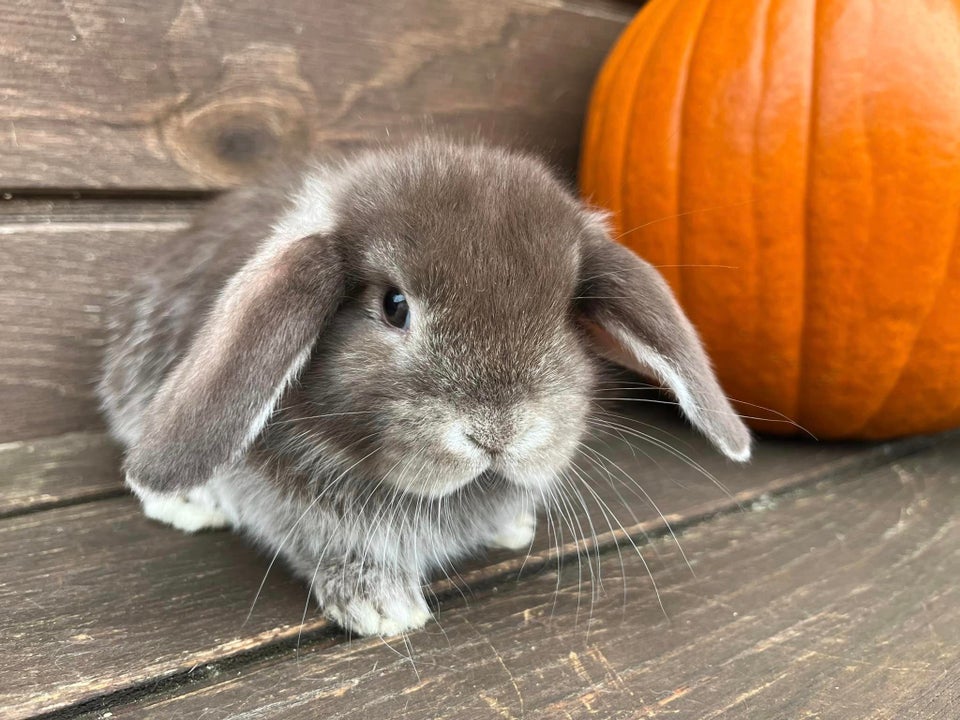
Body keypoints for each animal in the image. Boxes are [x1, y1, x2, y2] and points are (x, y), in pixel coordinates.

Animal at [99, 139, 752, 636]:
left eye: (567, 314)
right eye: (394, 306)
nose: (499, 432)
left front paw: (511, 526)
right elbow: (322, 540)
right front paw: (383, 608)